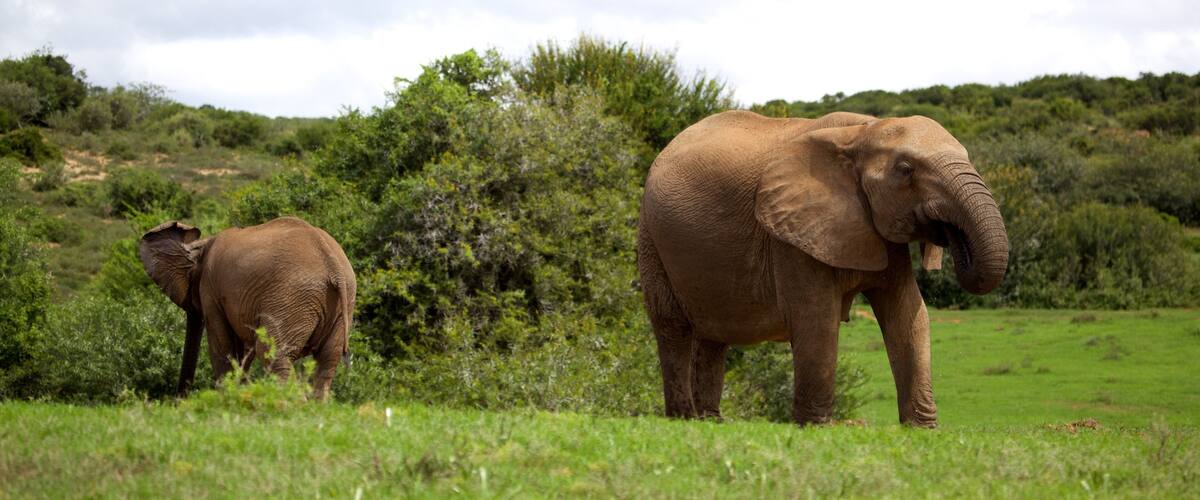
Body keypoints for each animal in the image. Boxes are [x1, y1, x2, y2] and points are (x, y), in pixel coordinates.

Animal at [139, 216, 356, 400]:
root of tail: (333, 265)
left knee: (273, 353)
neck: (201, 246)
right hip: (339, 304)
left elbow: (222, 344)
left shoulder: (211, 290)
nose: (179, 402)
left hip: (293, 297)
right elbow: (243, 350)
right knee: (327, 360)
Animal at [637, 110, 1008, 427]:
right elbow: (817, 318)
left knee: (714, 335)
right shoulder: (789, 236)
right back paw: (684, 418)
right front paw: (815, 426)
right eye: (906, 170)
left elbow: (908, 315)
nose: (948, 232)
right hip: (651, 236)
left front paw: (922, 430)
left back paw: (711, 421)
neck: (860, 133)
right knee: (672, 326)